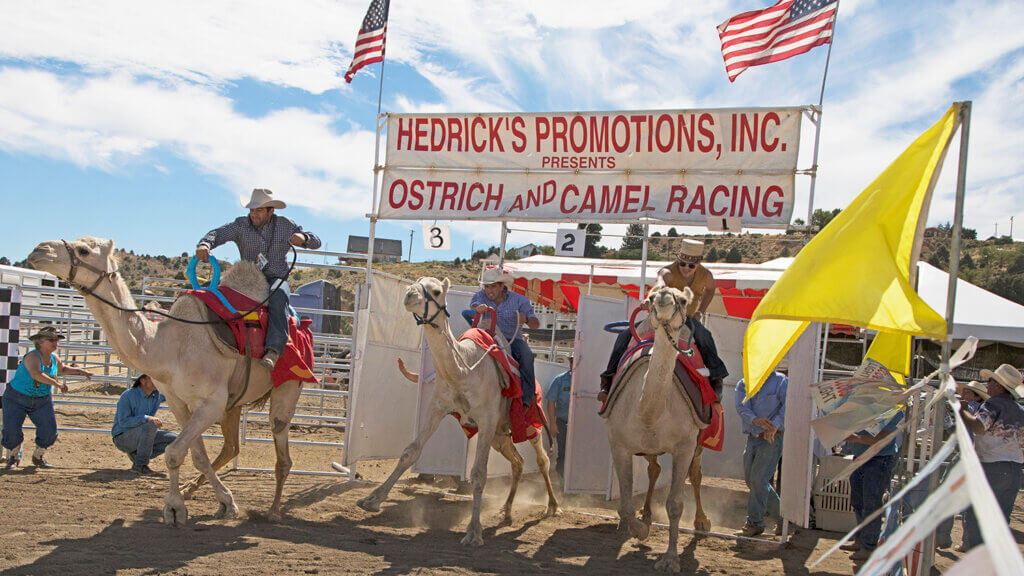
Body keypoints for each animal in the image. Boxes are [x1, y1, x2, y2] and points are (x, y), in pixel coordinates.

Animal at [29, 235, 303, 522]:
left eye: (83, 250)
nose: (39, 250)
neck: (168, 346)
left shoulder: (212, 402)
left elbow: (173, 452)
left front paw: (174, 506)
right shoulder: (177, 401)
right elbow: (197, 455)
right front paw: (220, 502)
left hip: (287, 385)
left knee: (280, 442)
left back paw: (273, 510)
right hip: (235, 400)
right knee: (231, 447)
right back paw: (195, 491)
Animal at [354, 276, 561, 545]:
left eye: (435, 291)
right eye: (416, 283)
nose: (409, 295)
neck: (464, 370)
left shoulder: (486, 419)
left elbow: (479, 473)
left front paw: (473, 532)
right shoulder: (437, 408)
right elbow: (410, 452)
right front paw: (371, 500)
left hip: (526, 425)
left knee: (542, 460)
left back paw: (553, 506)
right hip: (500, 435)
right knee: (518, 462)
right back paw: (506, 510)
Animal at [602, 284, 708, 569]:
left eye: (683, 299)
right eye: (650, 296)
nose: (662, 298)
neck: (650, 413)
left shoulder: (684, 446)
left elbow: (675, 505)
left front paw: (670, 559)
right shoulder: (619, 444)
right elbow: (625, 505)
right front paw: (640, 529)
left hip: (699, 441)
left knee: (696, 474)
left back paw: (702, 522)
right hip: (647, 446)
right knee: (654, 469)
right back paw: (647, 514)